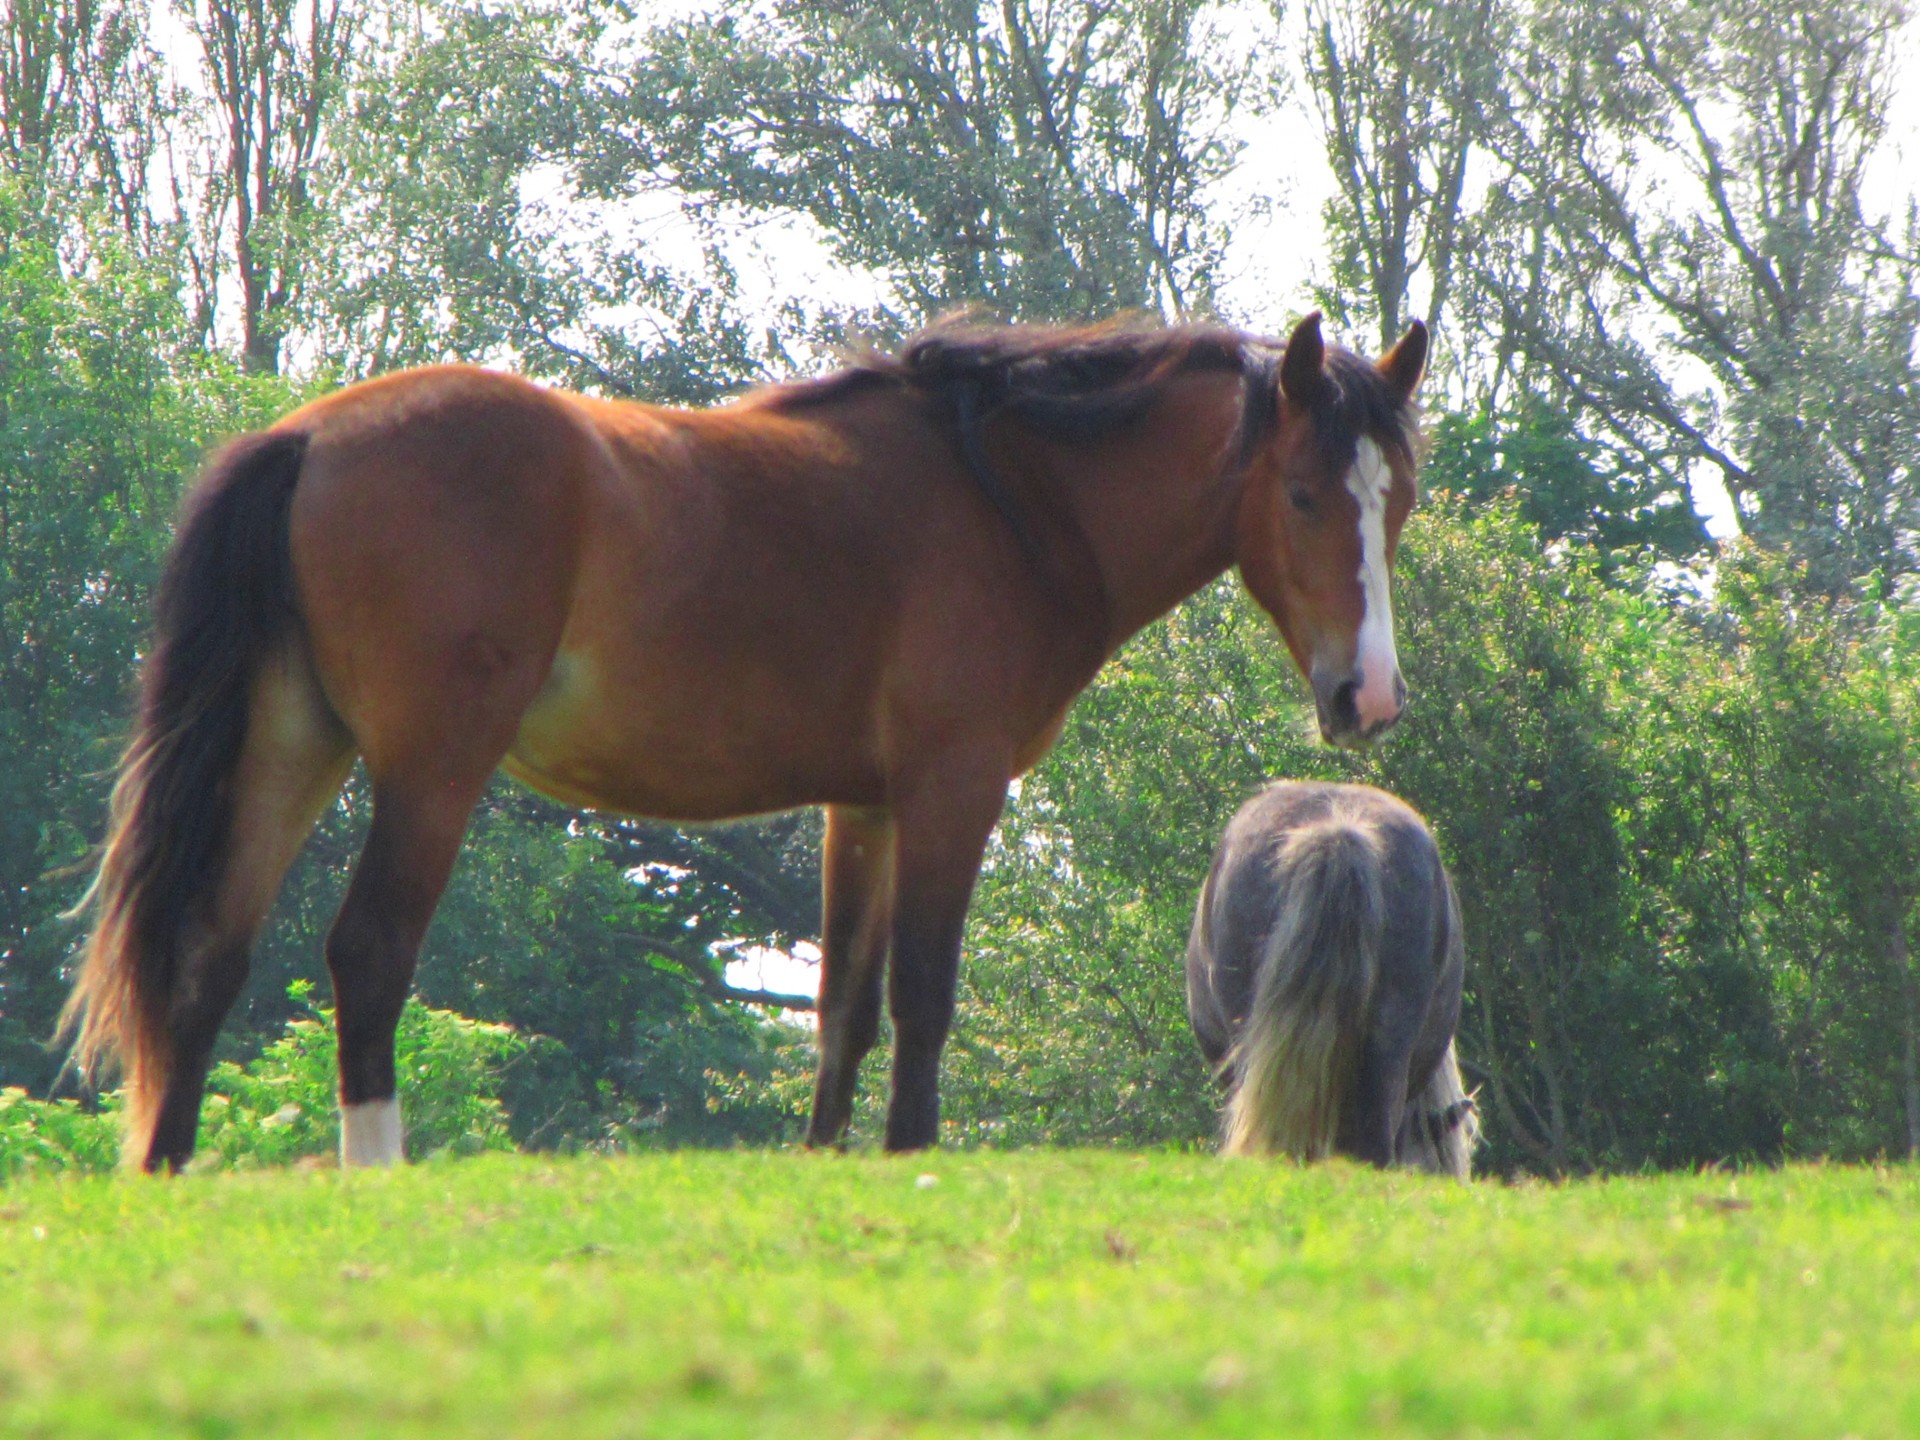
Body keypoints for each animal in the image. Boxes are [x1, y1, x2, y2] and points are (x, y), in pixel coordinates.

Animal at [60, 312, 1428, 1175]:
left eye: (1397, 499)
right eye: (1305, 493)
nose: (1368, 697)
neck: (1007, 499)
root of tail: (307, 438)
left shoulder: (862, 808)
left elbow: (845, 1010)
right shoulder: (952, 789)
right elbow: (924, 997)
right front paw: (910, 1159)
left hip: (296, 746)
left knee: (208, 950)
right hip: (427, 771)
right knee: (369, 954)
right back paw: (376, 1169)